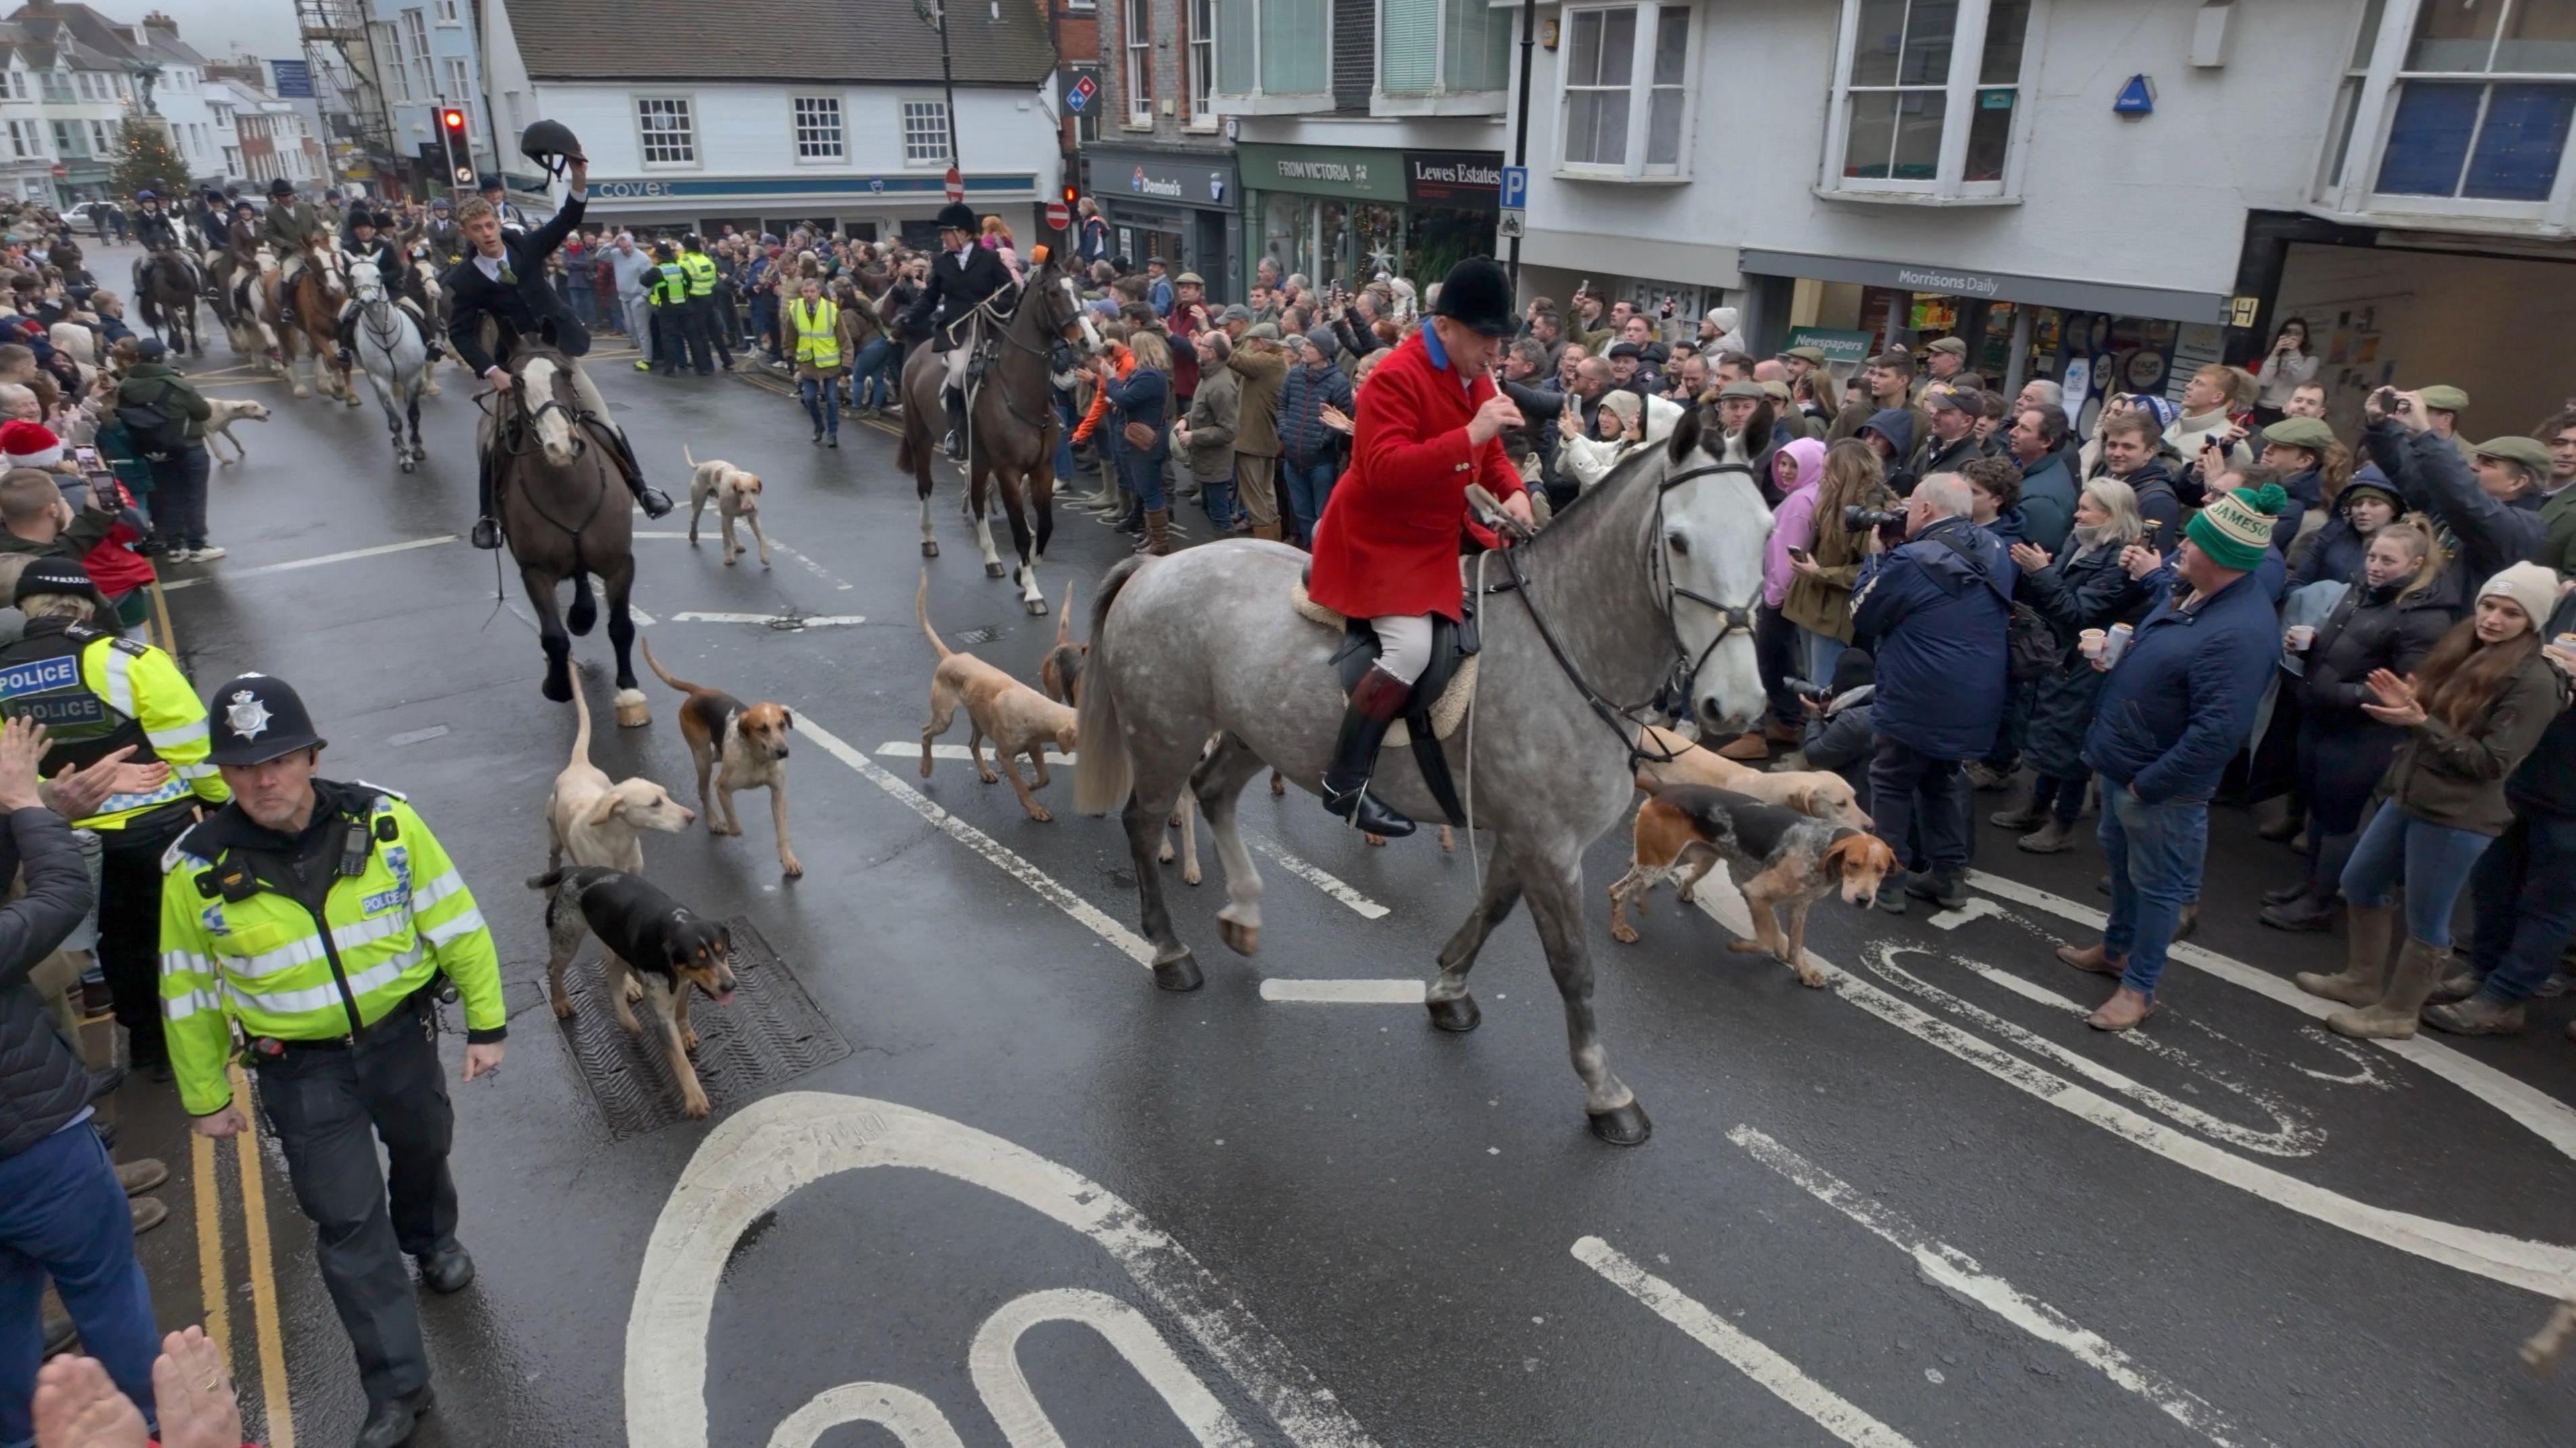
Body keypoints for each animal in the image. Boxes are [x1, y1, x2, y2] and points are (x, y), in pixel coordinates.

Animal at [258, 231, 355, 402]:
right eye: (315, 260)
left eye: (332, 255)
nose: (336, 287)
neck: (330, 301)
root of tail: (271, 273)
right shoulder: (317, 333)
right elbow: (332, 359)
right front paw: (338, 388)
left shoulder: (341, 332)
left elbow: (344, 361)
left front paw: (349, 394)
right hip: (282, 327)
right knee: (289, 354)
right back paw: (300, 387)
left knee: (314, 353)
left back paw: (322, 384)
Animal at [347, 254, 427, 469]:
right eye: (352, 276)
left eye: (378, 275)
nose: (368, 300)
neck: (385, 335)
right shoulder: (379, 379)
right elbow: (395, 420)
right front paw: (405, 455)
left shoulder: (414, 375)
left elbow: (414, 413)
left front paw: (417, 447)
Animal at [492, 337, 649, 721]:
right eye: (516, 380)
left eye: (564, 373)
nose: (561, 446)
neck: (567, 488)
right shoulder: (534, 571)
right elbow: (554, 636)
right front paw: (559, 685)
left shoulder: (620, 563)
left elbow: (621, 626)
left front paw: (629, 692)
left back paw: (583, 613)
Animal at [896, 247, 1097, 608]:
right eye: (1054, 293)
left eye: (1078, 289)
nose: (1090, 341)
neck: (1019, 393)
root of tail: (917, 353)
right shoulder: (1008, 472)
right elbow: (1020, 530)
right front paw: (1032, 589)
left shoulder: (1043, 469)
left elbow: (1045, 528)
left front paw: (1022, 571)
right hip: (921, 438)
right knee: (925, 487)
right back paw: (929, 539)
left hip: (978, 458)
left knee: (977, 500)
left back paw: (991, 559)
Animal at [1066, 396, 1772, 1139]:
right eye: (1680, 540)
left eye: (1766, 532)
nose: (1736, 705)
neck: (1570, 647)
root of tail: (1154, 567)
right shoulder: (1549, 845)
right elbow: (1572, 967)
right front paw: (1606, 1091)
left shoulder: (1526, 835)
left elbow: (1491, 910)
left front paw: (1449, 987)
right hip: (1166, 733)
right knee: (1145, 824)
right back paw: (1171, 951)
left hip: (1255, 732)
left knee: (1214, 793)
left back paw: (1244, 914)